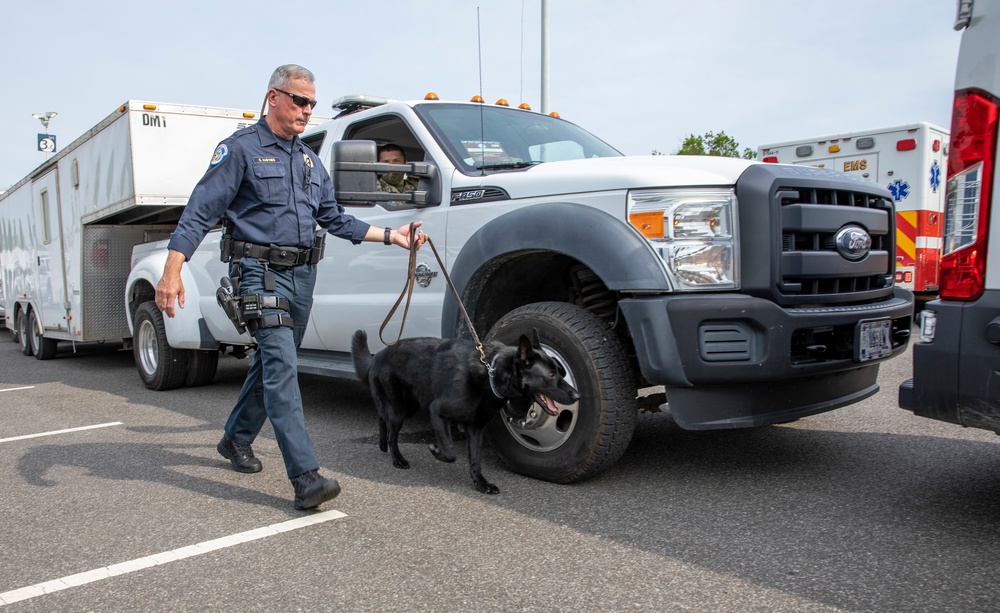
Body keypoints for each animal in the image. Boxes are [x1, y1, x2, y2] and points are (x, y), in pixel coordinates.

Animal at [350, 330, 580, 492]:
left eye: (561, 372)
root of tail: (378, 355)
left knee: (383, 418)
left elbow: (475, 460)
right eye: (551, 375)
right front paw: (436, 450)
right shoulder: (438, 413)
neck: (489, 374)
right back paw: (397, 459)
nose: (577, 396)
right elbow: (450, 452)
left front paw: (481, 483)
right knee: (392, 431)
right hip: (401, 409)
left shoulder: (476, 429)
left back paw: (382, 444)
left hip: (409, 407)